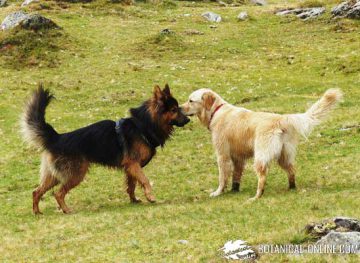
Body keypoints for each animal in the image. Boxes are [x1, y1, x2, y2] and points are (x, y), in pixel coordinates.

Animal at [21, 84, 190, 214]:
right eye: (174, 109)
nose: (188, 119)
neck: (143, 125)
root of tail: (57, 137)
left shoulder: (130, 167)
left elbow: (132, 185)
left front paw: (134, 200)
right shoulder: (133, 164)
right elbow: (145, 180)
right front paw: (150, 197)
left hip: (54, 176)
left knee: (36, 191)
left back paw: (37, 212)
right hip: (75, 174)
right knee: (58, 193)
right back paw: (66, 210)